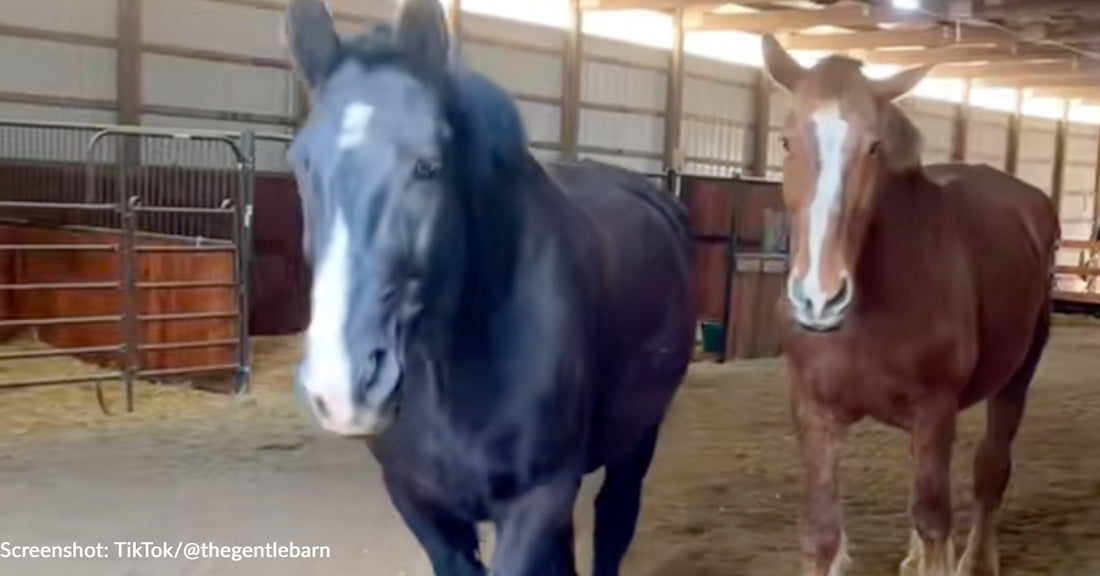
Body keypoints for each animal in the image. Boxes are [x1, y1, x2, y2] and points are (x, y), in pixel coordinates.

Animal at [288, 2, 690, 571]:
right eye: (301, 165)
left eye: (428, 166)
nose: (343, 387)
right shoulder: (419, 504)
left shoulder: (537, 501)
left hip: (639, 436)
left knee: (615, 520)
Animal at [761, 34, 1060, 576]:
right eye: (787, 141)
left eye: (874, 146)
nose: (819, 297)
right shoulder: (814, 410)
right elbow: (821, 533)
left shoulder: (934, 410)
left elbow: (934, 518)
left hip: (1018, 373)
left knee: (990, 469)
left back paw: (977, 560)